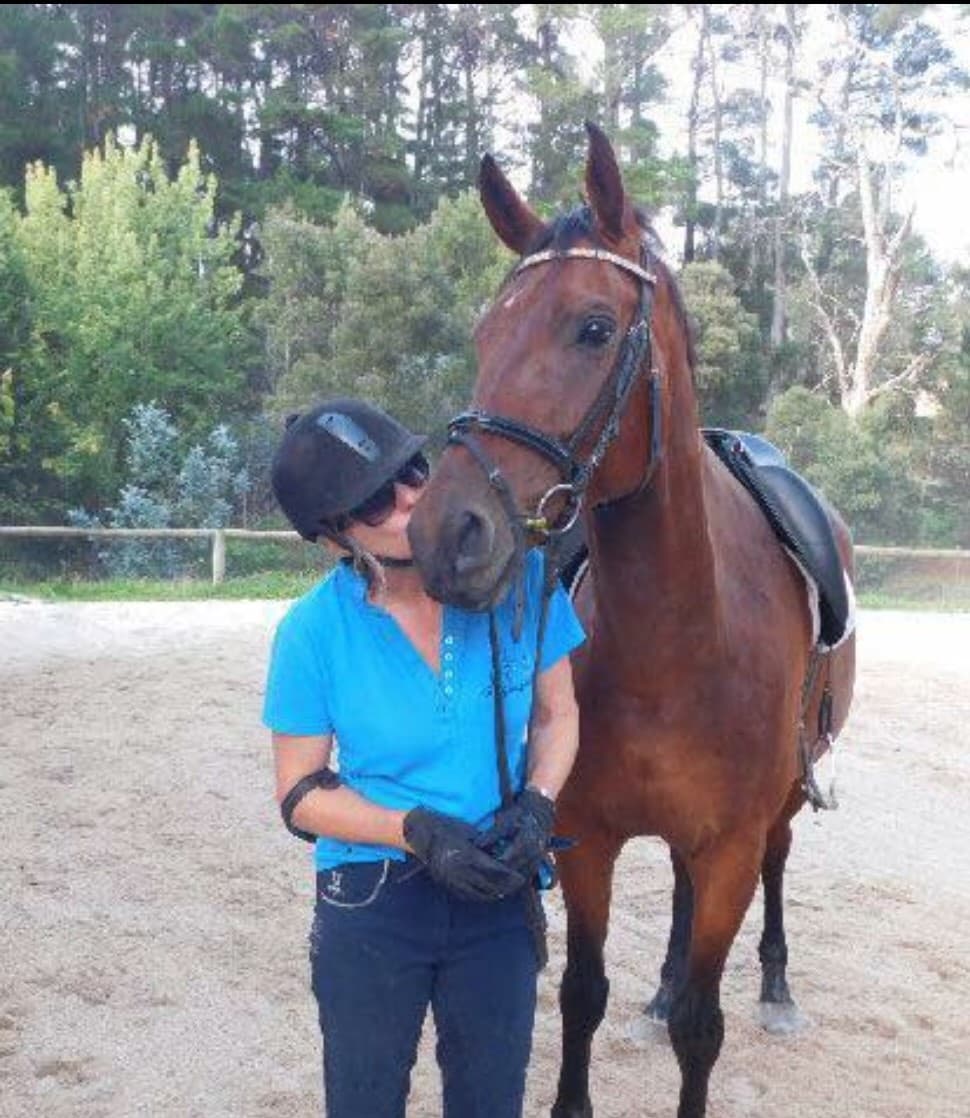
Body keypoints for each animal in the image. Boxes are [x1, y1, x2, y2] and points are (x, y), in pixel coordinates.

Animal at [407, 122, 856, 1118]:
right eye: (486, 333)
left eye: (593, 328)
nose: (444, 534)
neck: (681, 639)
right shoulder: (587, 838)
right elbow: (582, 993)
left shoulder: (729, 846)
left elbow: (703, 1026)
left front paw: (720, 1002)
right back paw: (660, 988)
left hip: (775, 810)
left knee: (778, 864)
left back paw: (776, 987)